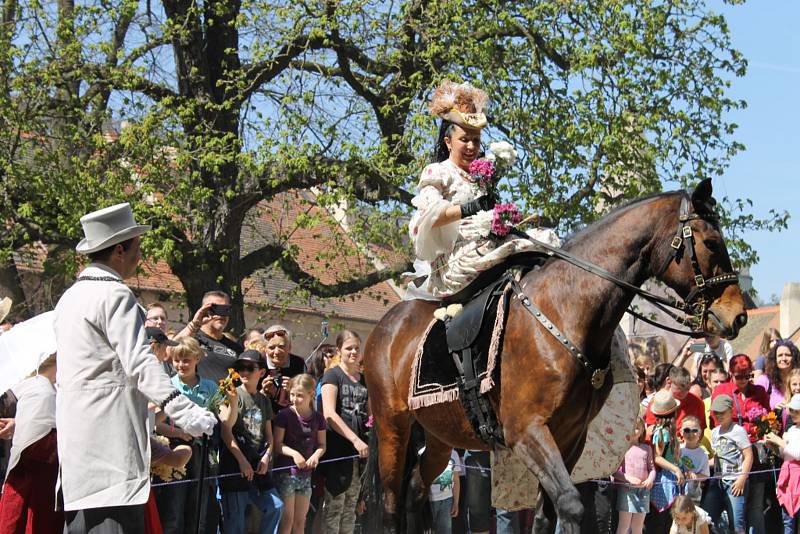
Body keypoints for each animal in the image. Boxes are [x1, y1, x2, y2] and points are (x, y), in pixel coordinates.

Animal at [362, 180, 752, 532]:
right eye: (711, 242)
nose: (738, 315)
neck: (563, 310)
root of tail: (385, 328)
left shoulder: (570, 435)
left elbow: (547, 514)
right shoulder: (527, 432)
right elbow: (571, 505)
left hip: (441, 434)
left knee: (415, 489)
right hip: (393, 426)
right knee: (392, 505)